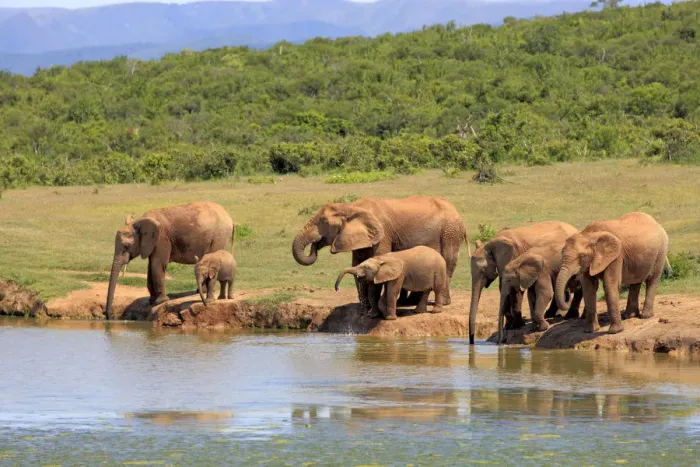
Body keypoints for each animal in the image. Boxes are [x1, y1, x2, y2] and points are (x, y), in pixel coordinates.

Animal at [105, 201, 234, 319]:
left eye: (127, 246)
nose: (108, 317)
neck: (139, 222)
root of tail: (229, 217)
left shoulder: (161, 238)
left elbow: (158, 264)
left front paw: (160, 301)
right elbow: (151, 266)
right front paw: (151, 300)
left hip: (219, 236)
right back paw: (200, 290)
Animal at [293, 196, 469, 316]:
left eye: (323, 221)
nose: (314, 247)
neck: (352, 207)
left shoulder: (382, 235)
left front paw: (373, 313)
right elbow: (358, 266)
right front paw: (365, 312)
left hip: (450, 232)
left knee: (448, 263)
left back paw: (442, 302)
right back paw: (407, 302)